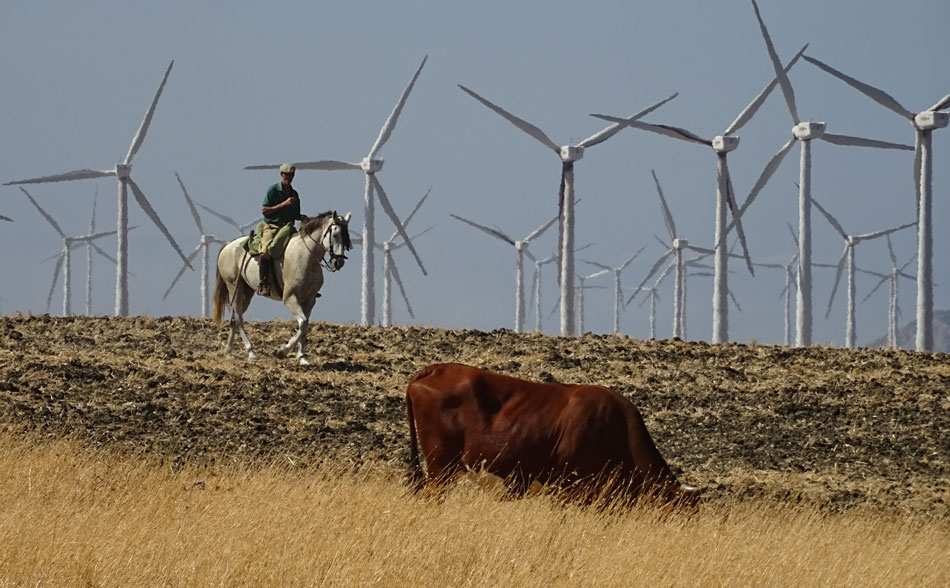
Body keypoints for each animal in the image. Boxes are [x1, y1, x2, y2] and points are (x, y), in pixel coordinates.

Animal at [212, 210, 352, 365]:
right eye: (335, 234)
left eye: (346, 236)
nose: (338, 262)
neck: (306, 256)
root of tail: (228, 245)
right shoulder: (290, 298)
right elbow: (303, 323)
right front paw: (282, 351)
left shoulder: (309, 300)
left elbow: (305, 326)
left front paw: (302, 358)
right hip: (234, 288)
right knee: (238, 318)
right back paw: (251, 353)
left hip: (246, 292)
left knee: (233, 319)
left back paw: (228, 352)